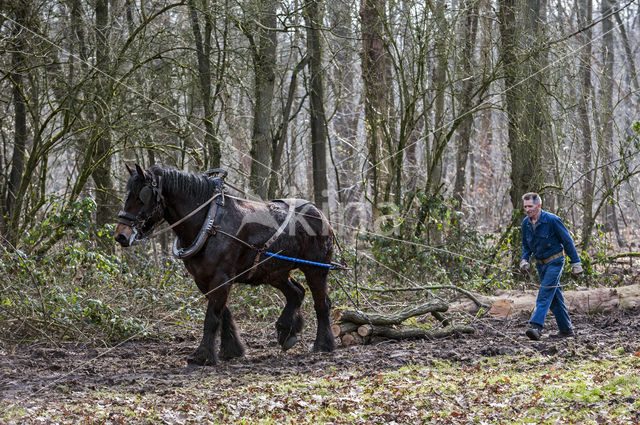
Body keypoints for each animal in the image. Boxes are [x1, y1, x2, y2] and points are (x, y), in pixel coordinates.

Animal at [114, 163, 336, 364]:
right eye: (128, 195)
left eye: (141, 197)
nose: (121, 236)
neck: (210, 222)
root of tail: (319, 214)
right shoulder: (204, 279)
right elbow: (223, 314)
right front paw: (232, 350)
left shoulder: (221, 277)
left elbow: (212, 317)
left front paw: (202, 356)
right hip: (274, 272)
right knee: (296, 293)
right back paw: (286, 332)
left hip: (316, 268)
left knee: (322, 303)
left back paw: (323, 344)